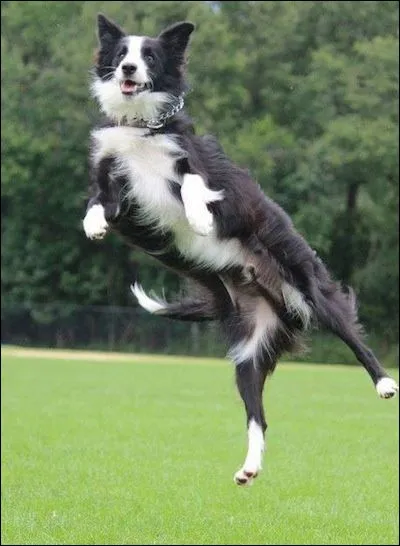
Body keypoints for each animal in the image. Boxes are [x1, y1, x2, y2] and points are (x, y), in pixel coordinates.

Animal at [83, 14, 396, 484]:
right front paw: (94, 225)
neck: (141, 126)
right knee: (258, 416)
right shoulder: (118, 187)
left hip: (311, 288)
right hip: (249, 353)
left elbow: (194, 183)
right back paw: (248, 468)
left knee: (355, 339)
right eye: (121, 54)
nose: (128, 70)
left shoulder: (202, 169)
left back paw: (384, 383)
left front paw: (199, 219)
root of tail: (277, 300)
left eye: (149, 56)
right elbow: (98, 199)